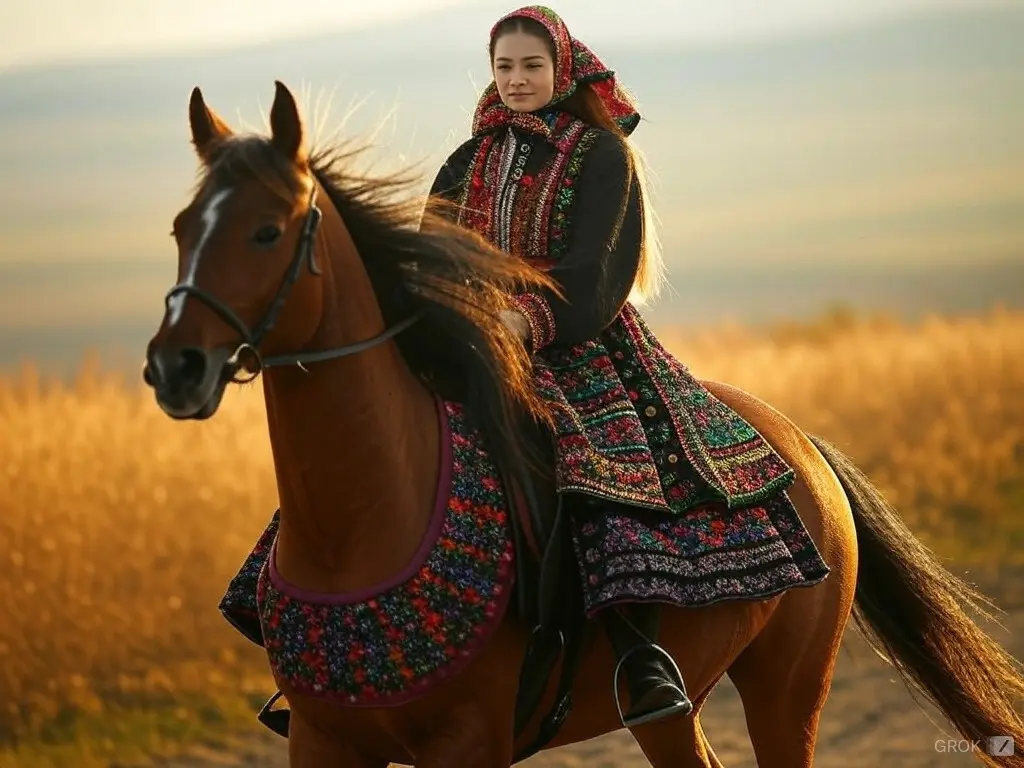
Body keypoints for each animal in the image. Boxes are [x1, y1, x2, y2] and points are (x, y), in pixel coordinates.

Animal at [142, 81, 1024, 765]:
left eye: (267, 231)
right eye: (181, 228)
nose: (174, 367)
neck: (360, 527)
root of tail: (803, 447)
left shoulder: (469, 741)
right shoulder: (323, 740)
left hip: (790, 687)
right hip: (679, 711)